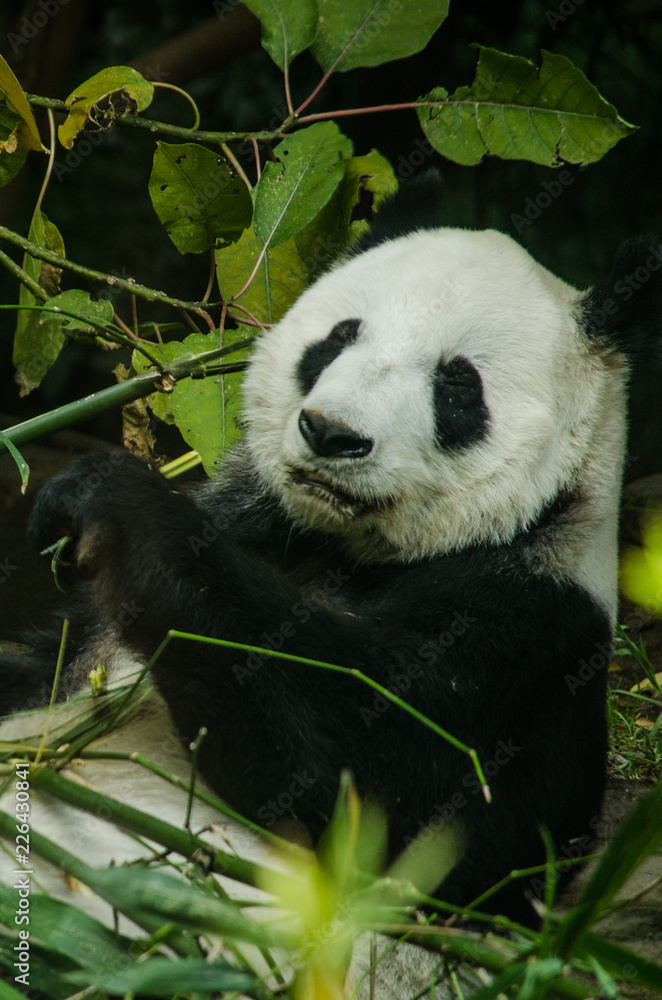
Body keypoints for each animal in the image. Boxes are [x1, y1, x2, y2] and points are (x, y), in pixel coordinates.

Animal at [2, 172, 662, 946]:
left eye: (457, 385)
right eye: (340, 337)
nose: (331, 432)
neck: (345, 549)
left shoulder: (528, 640)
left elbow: (378, 792)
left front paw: (110, 501)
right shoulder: (247, 528)